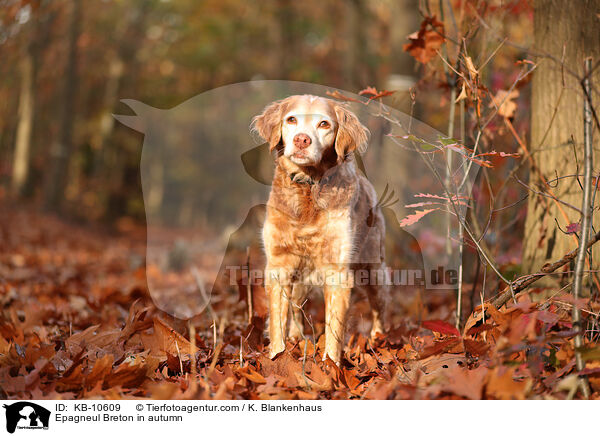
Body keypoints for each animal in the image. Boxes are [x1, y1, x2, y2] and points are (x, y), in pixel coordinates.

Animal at [250, 95, 386, 364]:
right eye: (291, 119)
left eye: (324, 124)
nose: (301, 140)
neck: (308, 188)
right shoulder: (279, 266)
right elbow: (278, 323)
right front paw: (278, 356)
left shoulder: (337, 273)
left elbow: (334, 329)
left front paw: (331, 366)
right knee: (295, 306)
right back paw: (296, 337)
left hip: (374, 271)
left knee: (378, 308)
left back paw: (378, 337)